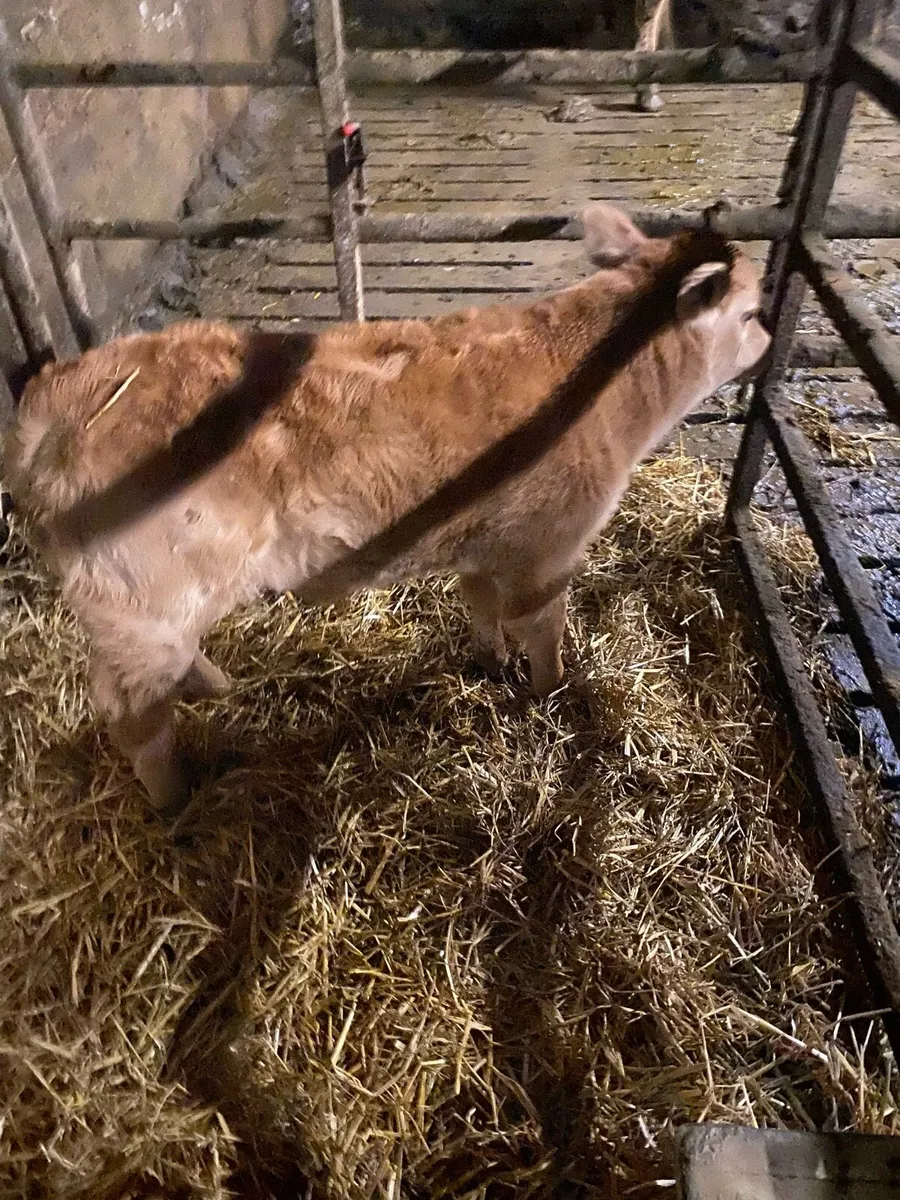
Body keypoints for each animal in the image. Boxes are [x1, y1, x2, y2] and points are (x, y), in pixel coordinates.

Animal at [4, 204, 770, 814]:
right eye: (750, 312)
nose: (769, 344)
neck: (601, 371)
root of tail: (62, 389)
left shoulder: (486, 539)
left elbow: (481, 604)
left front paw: (491, 663)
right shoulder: (548, 545)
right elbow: (542, 628)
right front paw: (550, 693)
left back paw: (217, 685)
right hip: (141, 601)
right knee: (128, 711)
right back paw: (174, 800)